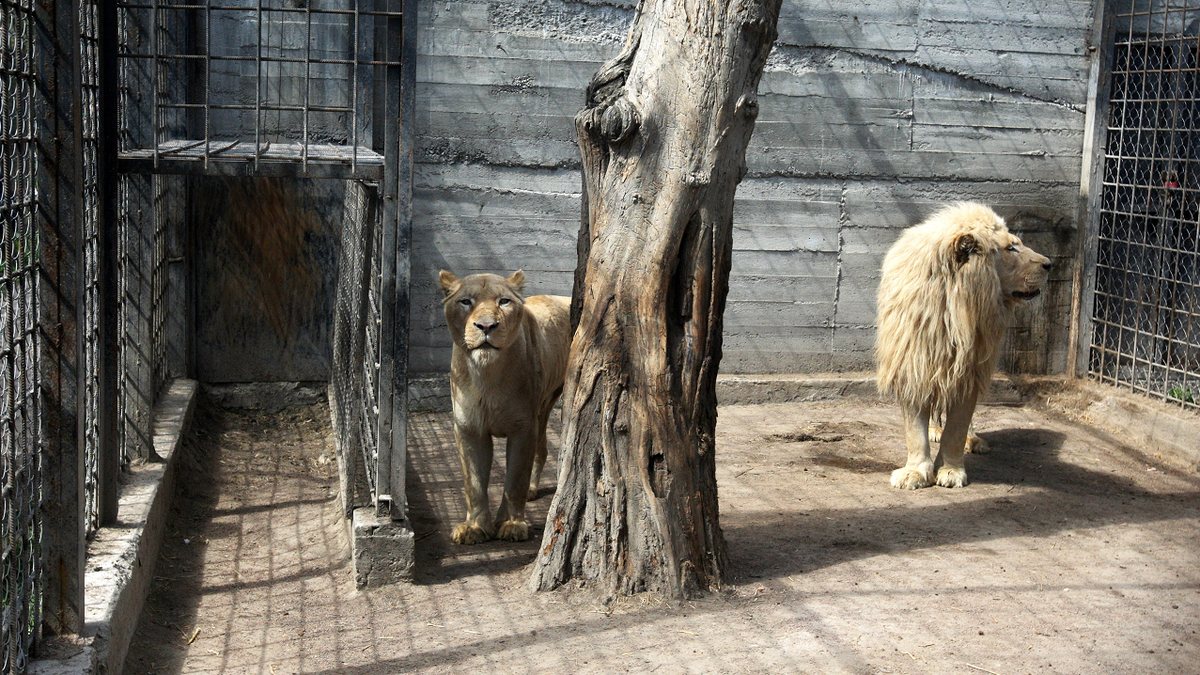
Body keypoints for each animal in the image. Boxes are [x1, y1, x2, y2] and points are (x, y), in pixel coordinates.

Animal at [441, 267, 571, 540]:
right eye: (466, 301)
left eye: (504, 301)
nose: (486, 326)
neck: (486, 376)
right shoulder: (468, 428)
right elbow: (474, 482)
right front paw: (475, 527)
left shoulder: (523, 427)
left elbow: (515, 479)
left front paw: (511, 524)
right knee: (542, 448)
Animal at [873, 200, 1051, 487]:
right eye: (1010, 248)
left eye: (1018, 244)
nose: (1049, 264)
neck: (953, 306)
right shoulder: (912, 362)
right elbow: (915, 431)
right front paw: (915, 472)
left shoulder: (968, 369)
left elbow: (956, 428)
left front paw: (951, 470)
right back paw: (935, 429)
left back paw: (973, 439)